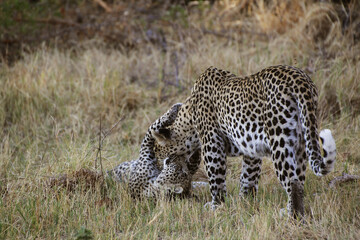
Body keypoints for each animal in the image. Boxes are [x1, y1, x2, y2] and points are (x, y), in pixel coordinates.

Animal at [151, 65, 334, 218]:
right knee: (300, 181)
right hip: (301, 143)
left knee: (293, 183)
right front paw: (244, 202)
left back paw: (293, 216)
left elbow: (216, 179)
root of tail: (300, 79)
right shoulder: (251, 150)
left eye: (160, 157)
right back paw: (289, 210)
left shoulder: (212, 144)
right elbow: (248, 178)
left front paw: (216, 206)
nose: (157, 169)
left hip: (280, 141)